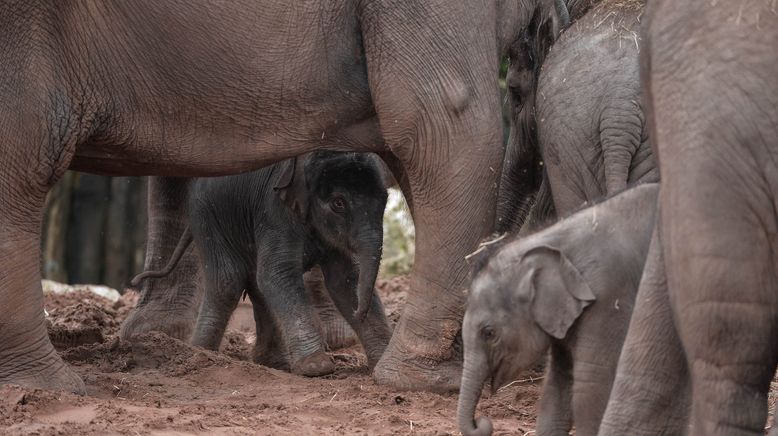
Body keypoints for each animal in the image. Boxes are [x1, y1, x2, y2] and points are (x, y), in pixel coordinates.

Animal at [130, 152, 392, 376]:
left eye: (385, 199)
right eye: (338, 203)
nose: (359, 312)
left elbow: (345, 280)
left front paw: (380, 361)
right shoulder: (274, 212)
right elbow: (276, 274)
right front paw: (317, 367)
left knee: (254, 285)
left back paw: (273, 363)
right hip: (208, 219)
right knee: (228, 281)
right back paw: (201, 354)